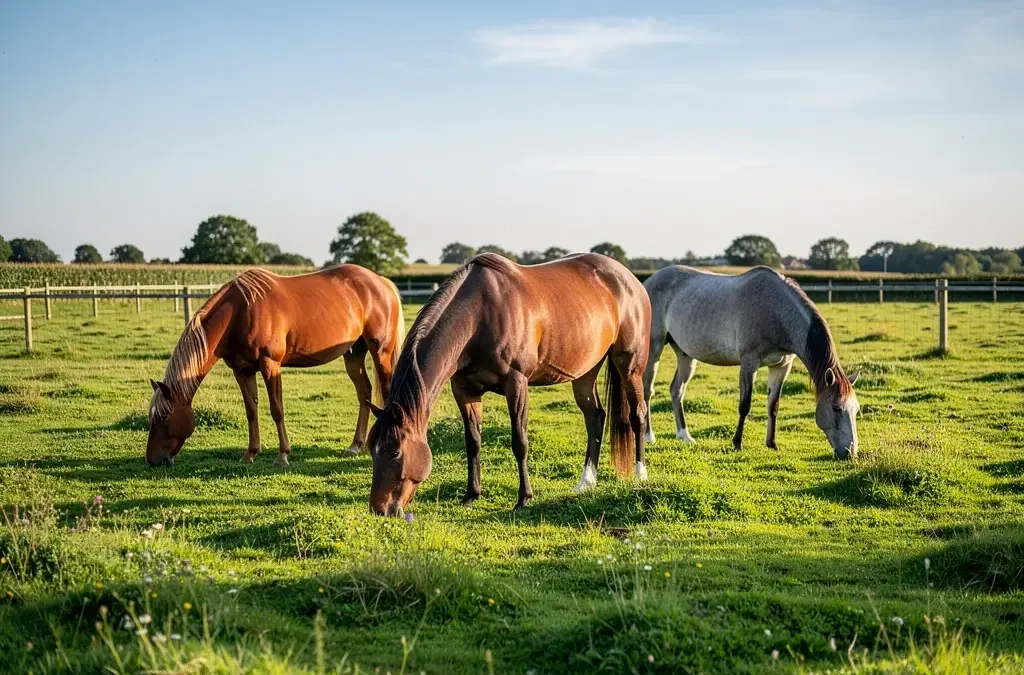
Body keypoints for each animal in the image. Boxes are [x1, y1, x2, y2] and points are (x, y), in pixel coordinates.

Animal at [146, 265, 405, 467]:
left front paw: (283, 456)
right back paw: (355, 446)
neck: (240, 312)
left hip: (381, 352)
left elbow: (276, 409)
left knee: (385, 391)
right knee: (364, 393)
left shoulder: (270, 365)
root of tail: (382, 282)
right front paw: (250, 454)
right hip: (353, 354)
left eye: (163, 416)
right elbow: (251, 410)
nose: (152, 460)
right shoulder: (242, 370)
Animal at [365, 252, 651, 516]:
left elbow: (519, 442)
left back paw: (640, 474)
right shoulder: (465, 390)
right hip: (585, 373)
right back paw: (585, 482)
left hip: (630, 366)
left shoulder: (517, 384)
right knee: (594, 417)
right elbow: (473, 441)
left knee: (638, 414)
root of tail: (630, 280)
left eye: (395, 452)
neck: (480, 314)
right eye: (371, 448)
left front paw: (524, 498)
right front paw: (471, 495)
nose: (380, 509)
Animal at [642, 265, 861, 459]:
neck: (776, 311)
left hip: (685, 354)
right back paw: (648, 436)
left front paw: (772, 444)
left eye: (856, 409)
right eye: (836, 408)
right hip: (654, 348)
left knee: (677, 390)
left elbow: (773, 405)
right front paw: (737, 443)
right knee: (647, 390)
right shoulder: (749, 363)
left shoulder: (781, 366)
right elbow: (744, 405)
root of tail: (649, 281)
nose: (850, 453)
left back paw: (685, 436)